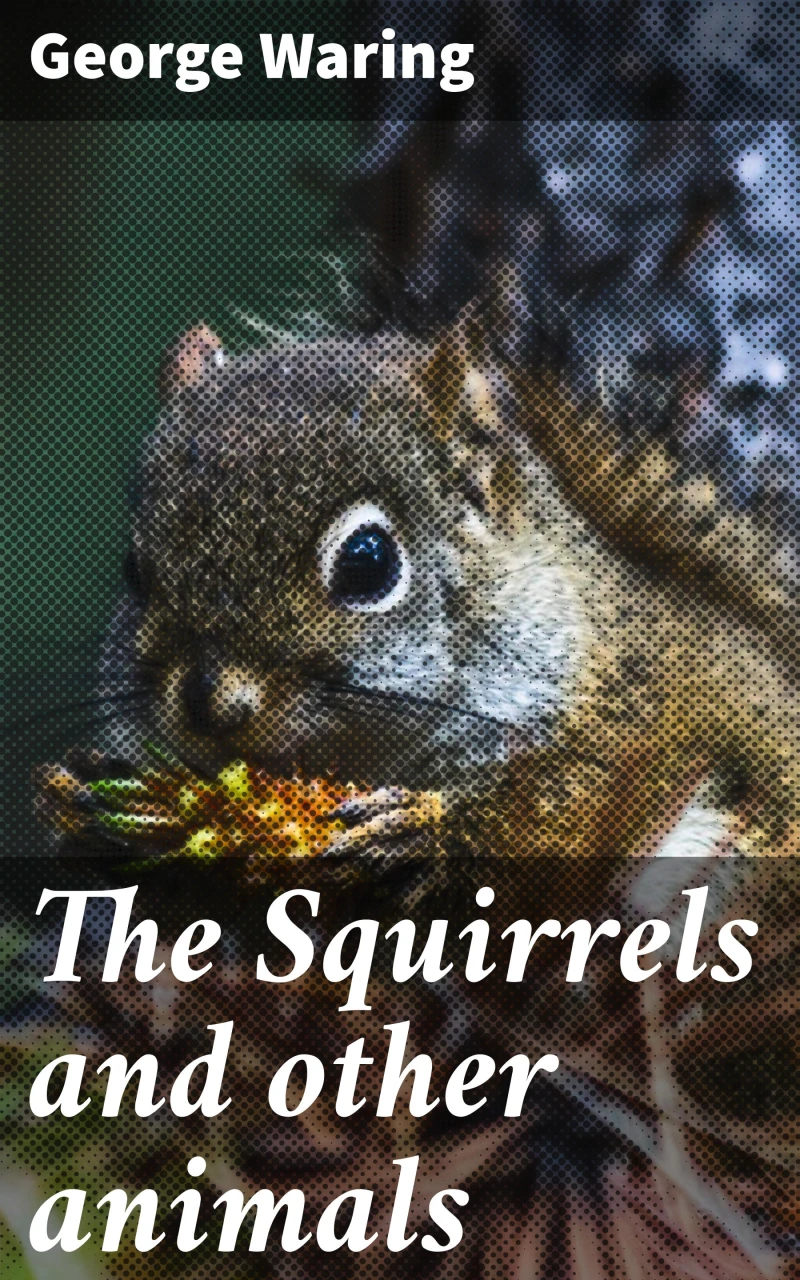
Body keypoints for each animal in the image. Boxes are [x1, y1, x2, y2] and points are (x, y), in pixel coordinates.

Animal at [42, 316, 799, 876]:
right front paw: (87, 804)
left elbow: (547, 826)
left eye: (368, 562)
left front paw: (415, 826)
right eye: (133, 569)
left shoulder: (633, 727)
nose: (209, 705)